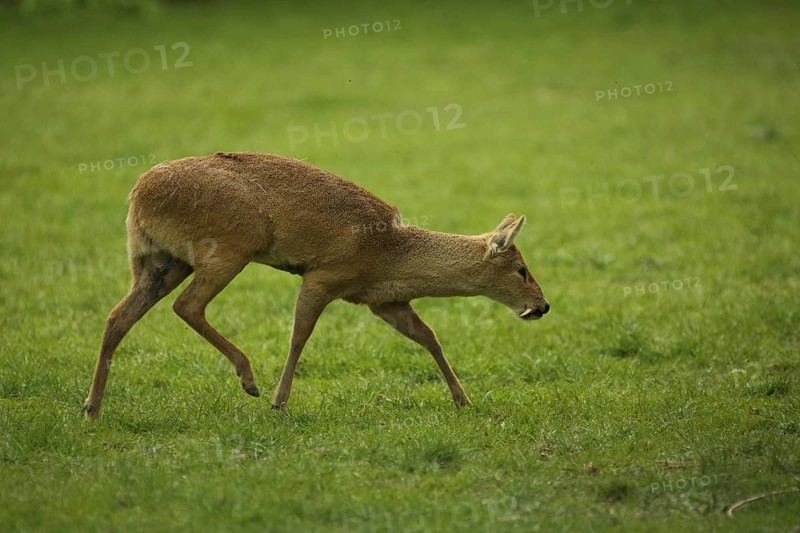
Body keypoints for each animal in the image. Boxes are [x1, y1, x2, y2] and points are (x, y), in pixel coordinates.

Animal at [83, 152, 550, 419]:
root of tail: (137, 195)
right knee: (187, 306)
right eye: (522, 269)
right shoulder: (323, 276)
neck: (390, 255)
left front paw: (463, 400)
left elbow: (428, 336)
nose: (543, 306)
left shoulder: (383, 300)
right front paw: (279, 401)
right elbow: (299, 336)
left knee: (118, 316)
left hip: (160, 259)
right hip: (229, 245)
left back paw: (91, 407)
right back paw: (248, 378)